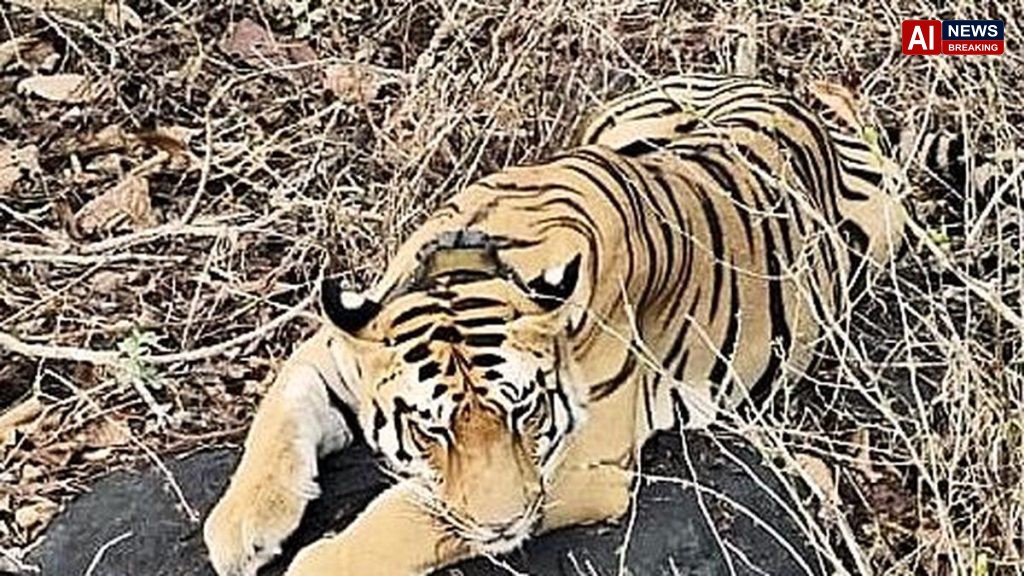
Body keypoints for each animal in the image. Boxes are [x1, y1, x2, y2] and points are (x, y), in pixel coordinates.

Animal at [202, 73, 913, 576]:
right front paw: (239, 527)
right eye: (431, 430)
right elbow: (277, 416)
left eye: (525, 414)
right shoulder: (335, 348)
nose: (504, 527)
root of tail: (793, 95)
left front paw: (317, 563)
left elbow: (409, 517)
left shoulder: (578, 467)